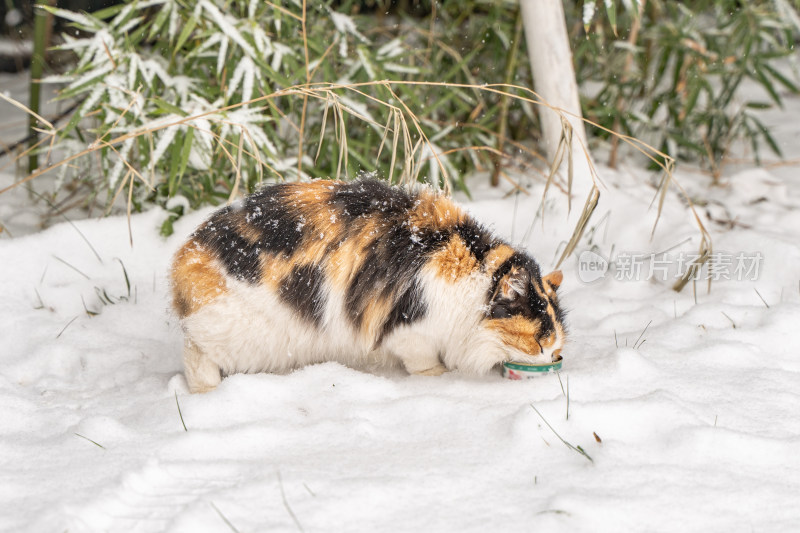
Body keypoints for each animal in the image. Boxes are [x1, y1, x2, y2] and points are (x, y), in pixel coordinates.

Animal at [172, 179, 564, 390]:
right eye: (537, 342)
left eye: (557, 346)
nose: (554, 359)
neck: (477, 270)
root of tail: (186, 256)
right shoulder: (412, 331)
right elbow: (423, 361)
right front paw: (439, 378)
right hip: (241, 334)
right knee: (195, 353)